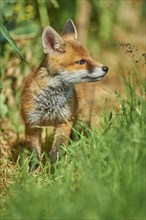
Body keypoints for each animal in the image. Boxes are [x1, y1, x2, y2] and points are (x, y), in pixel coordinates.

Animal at [21, 19, 108, 163]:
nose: (106, 68)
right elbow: (34, 156)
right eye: (81, 61)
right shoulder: (32, 124)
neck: (51, 101)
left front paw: (55, 167)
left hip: (82, 121)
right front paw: (36, 169)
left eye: (90, 57)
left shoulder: (65, 121)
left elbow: (57, 151)